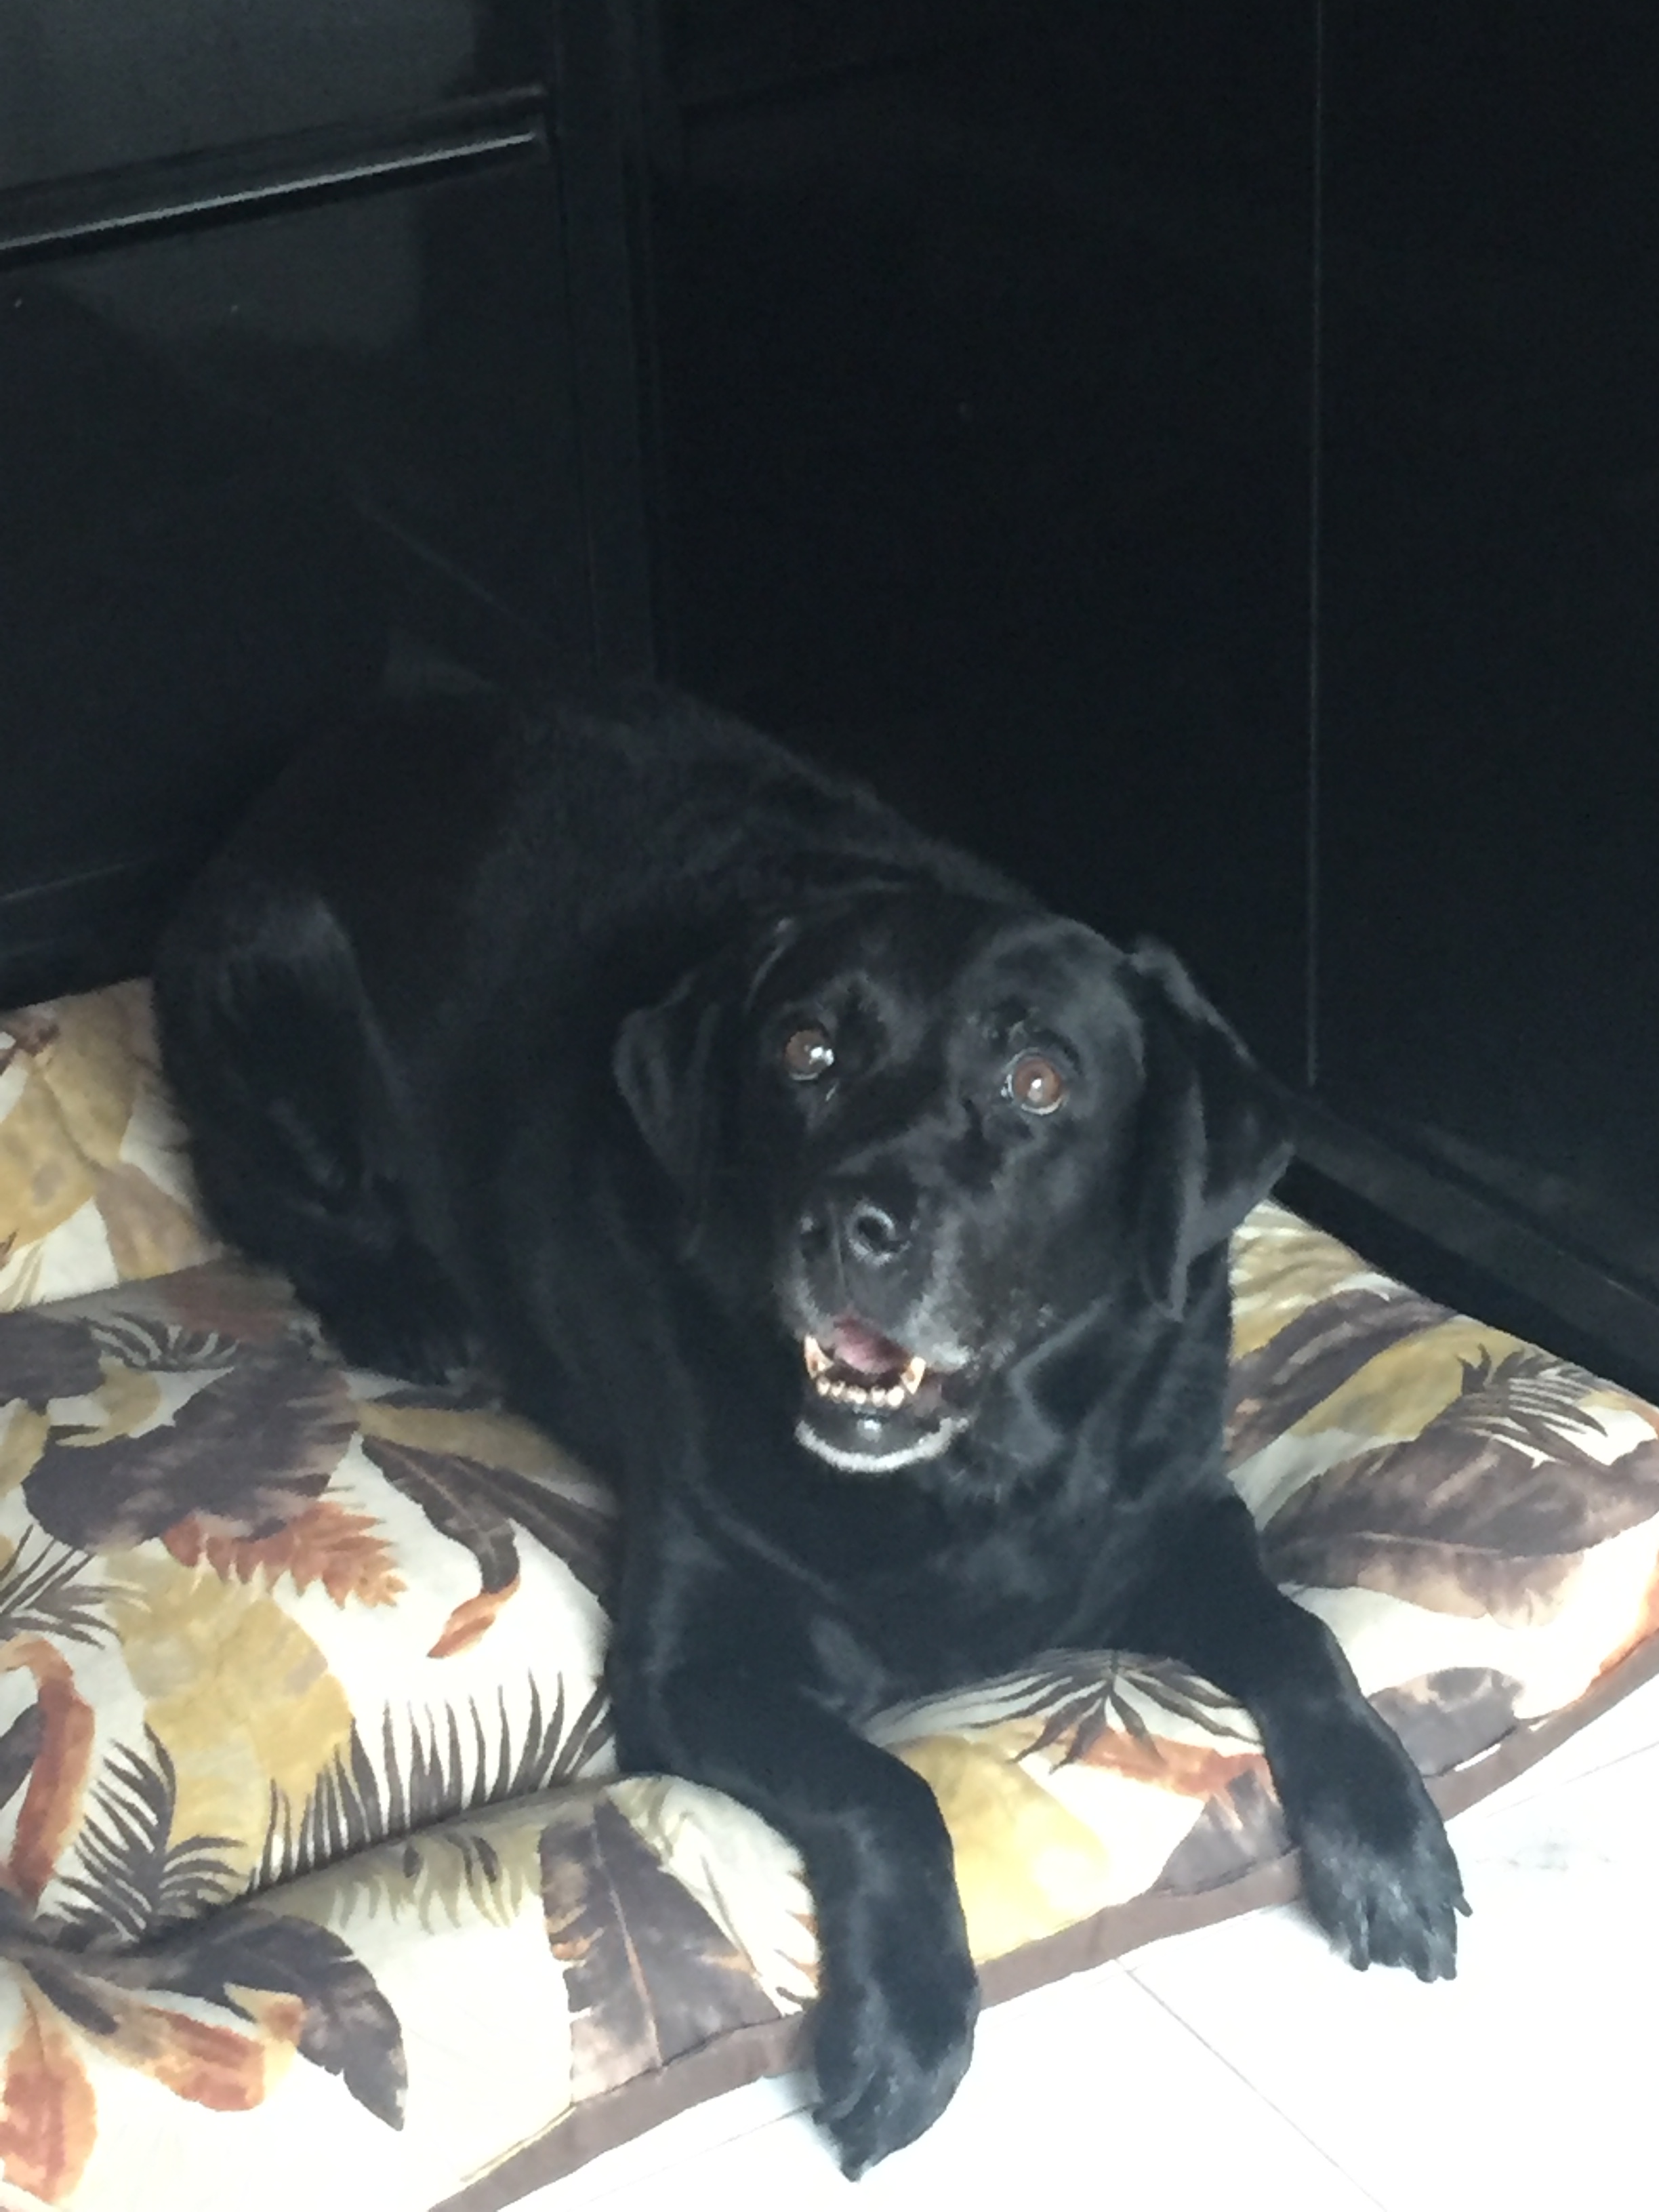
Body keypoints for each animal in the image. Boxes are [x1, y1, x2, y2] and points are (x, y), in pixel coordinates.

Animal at [154, 680, 1466, 2176]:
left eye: (1038, 1080)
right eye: (806, 1053)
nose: (848, 1222)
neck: (971, 1482)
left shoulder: (1176, 1512)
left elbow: (1301, 1637)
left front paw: (1388, 1835)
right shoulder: (693, 1663)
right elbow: (887, 1790)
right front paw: (907, 2028)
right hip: (272, 984)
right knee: (260, 1191)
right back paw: (403, 1300)